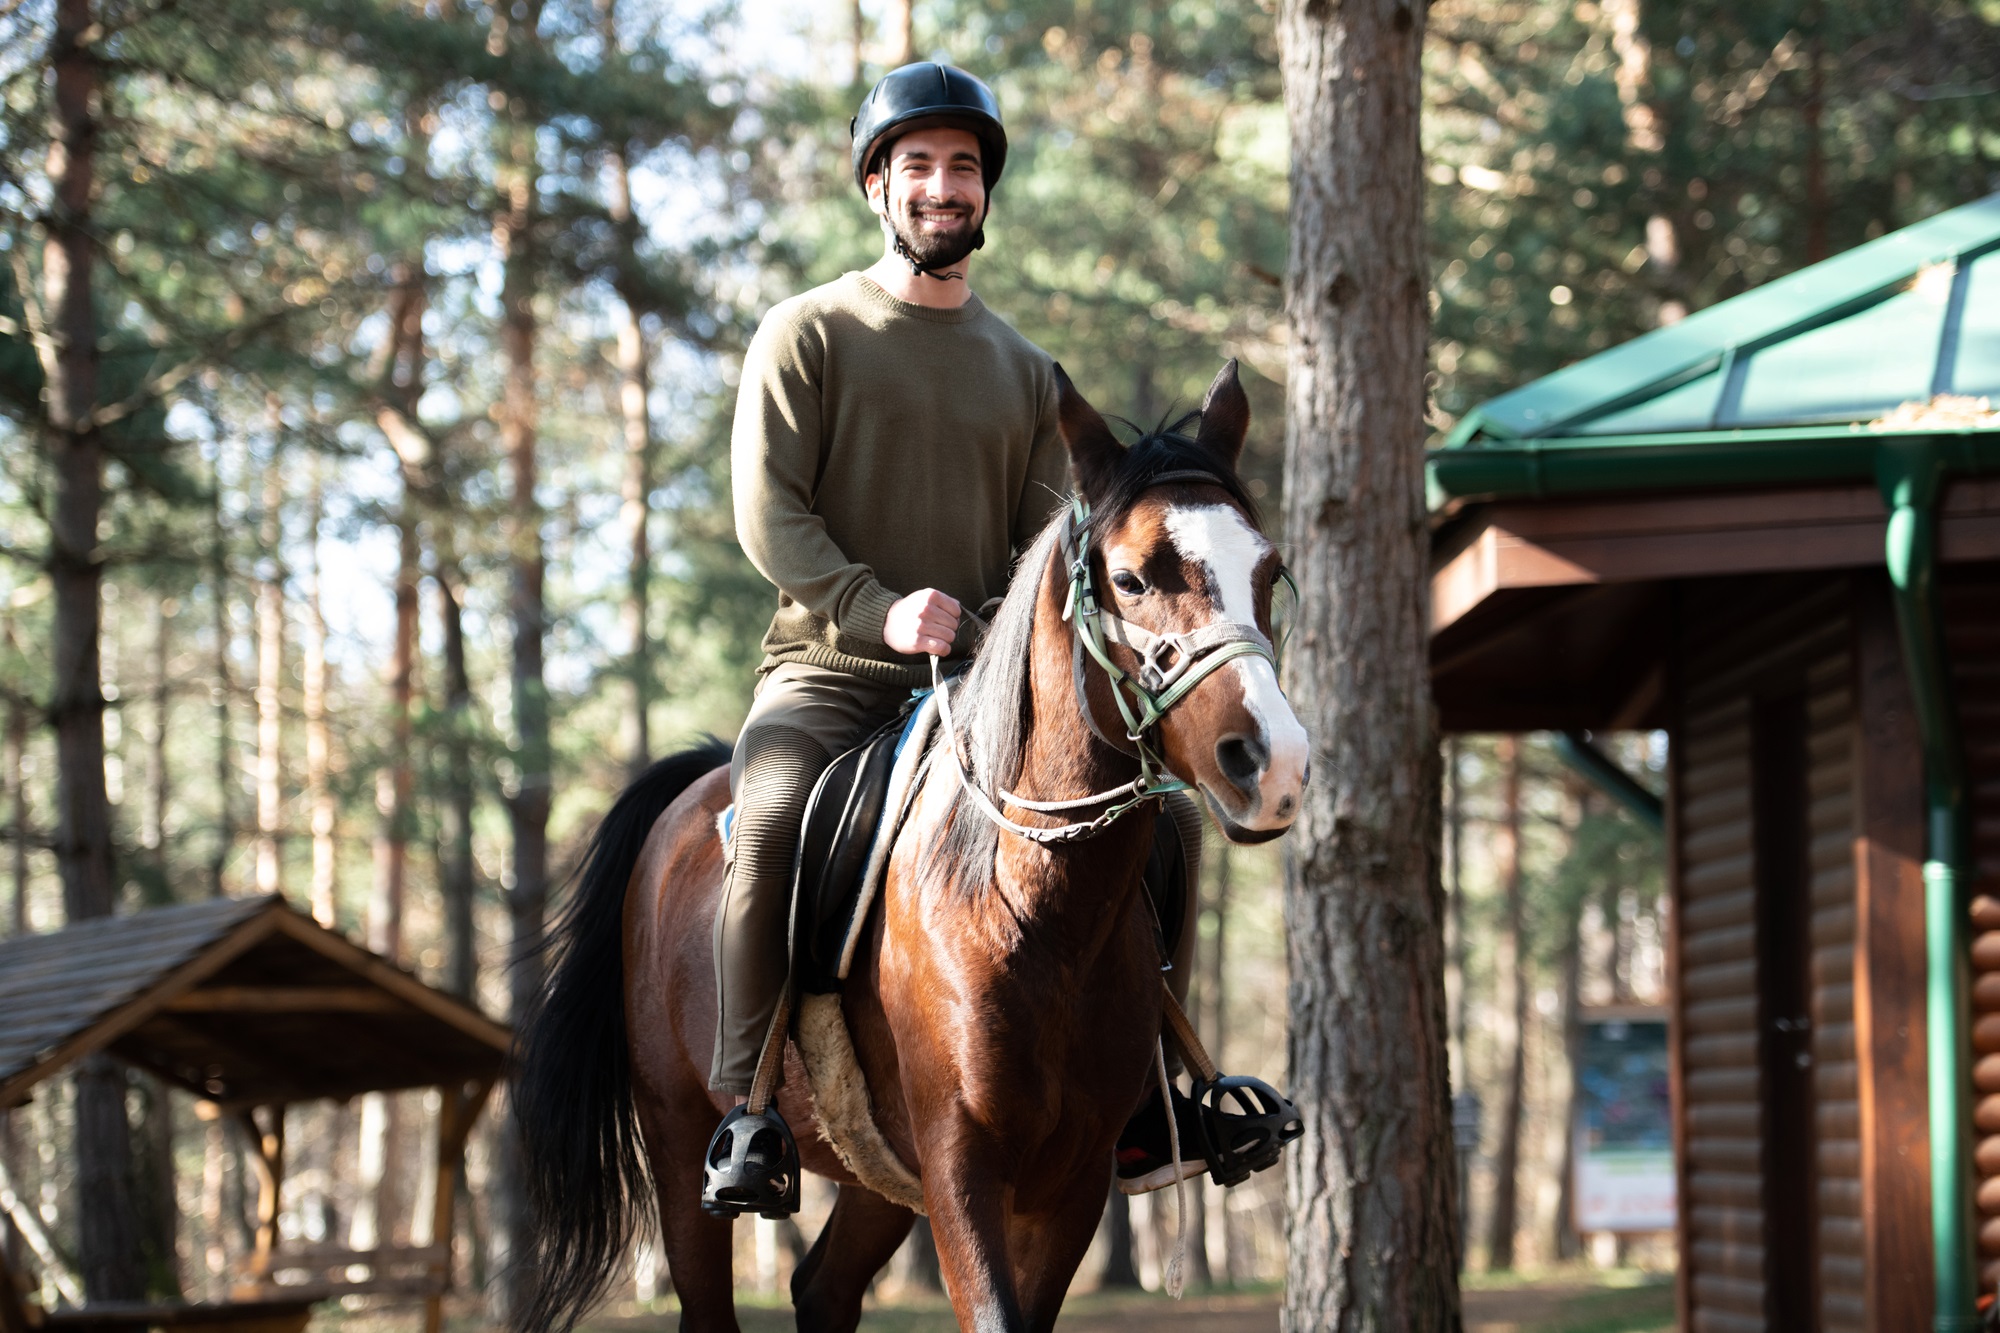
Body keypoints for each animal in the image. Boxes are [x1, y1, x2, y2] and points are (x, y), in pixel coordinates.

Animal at [508, 360, 1304, 1328]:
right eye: (1131, 577)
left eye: (1269, 569)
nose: (1272, 761)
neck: (1032, 908)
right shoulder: (962, 1161)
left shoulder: (1072, 1179)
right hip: (678, 1134)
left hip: (879, 1171)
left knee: (823, 1286)